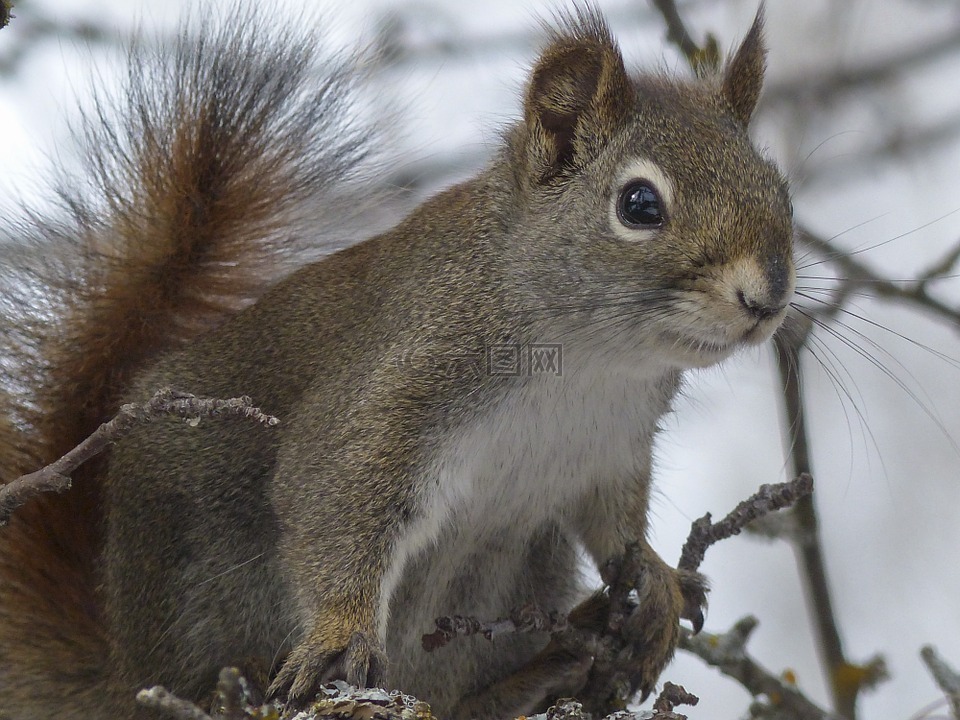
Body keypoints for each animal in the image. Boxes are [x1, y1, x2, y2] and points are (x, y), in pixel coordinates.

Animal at [0, 5, 796, 720]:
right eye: (639, 204)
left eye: (777, 186)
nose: (766, 299)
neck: (590, 363)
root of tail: (122, 670)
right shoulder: (397, 382)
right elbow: (333, 493)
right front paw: (338, 636)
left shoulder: (608, 449)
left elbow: (616, 524)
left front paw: (657, 579)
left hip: (515, 566)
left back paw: (554, 662)